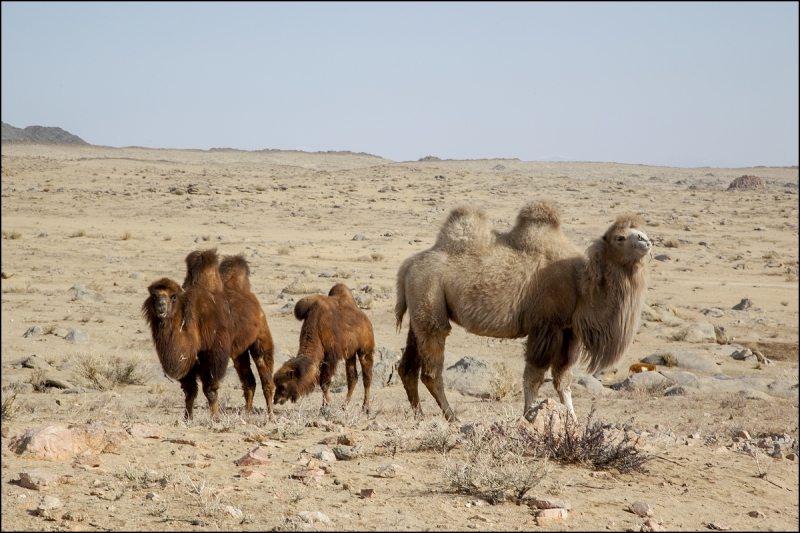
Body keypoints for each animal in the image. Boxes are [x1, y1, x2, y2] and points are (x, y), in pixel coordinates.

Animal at [142, 249, 231, 420]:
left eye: (173, 296)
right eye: (154, 295)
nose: (161, 307)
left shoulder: (213, 355)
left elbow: (211, 390)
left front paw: (215, 418)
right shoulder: (187, 363)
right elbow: (189, 392)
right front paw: (187, 418)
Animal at [272, 282, 376, 412]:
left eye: (283, 385)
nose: (275, 400)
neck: (316, 326)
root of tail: (365, 319)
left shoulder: (330, 358)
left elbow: (325, 383)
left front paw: (325, 408)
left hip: (365, 349)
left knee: (367, 378)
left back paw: (365, 408)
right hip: (350, 354)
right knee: (353, 378)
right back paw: (344, 406)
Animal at [394, 200, 648, 420]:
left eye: (640, 230)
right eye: (620, 237)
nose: (646, 241)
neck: (582, 285)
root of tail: (407, 266)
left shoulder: (569, 332)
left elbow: (563, 380)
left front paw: (572, 420)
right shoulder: (545, 327)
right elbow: (534, 378)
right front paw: (530, 415)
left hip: (420, 309)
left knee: (408, 366)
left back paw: (419, 416)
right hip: (429, 293)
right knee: (432, 368)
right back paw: (452, 418)